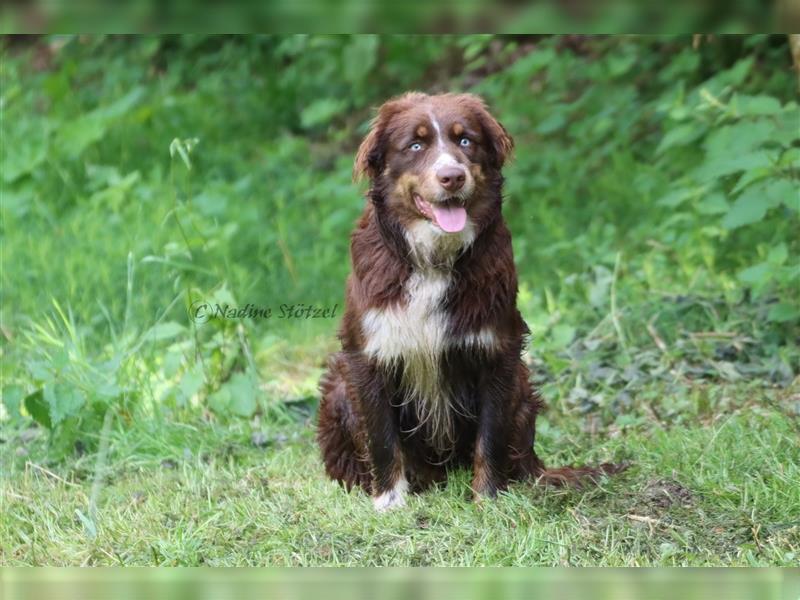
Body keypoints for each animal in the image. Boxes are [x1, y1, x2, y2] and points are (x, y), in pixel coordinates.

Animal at [316, 91, 616, 508]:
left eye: (465, 140)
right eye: (415, 145)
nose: (452, 176)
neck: (433, 260)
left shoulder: (496, 351)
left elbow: (490, 437)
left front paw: (488, 500)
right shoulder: (369, 353)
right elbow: (382, 439)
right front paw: (390, 502)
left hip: (522, 386)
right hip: (337, 389)